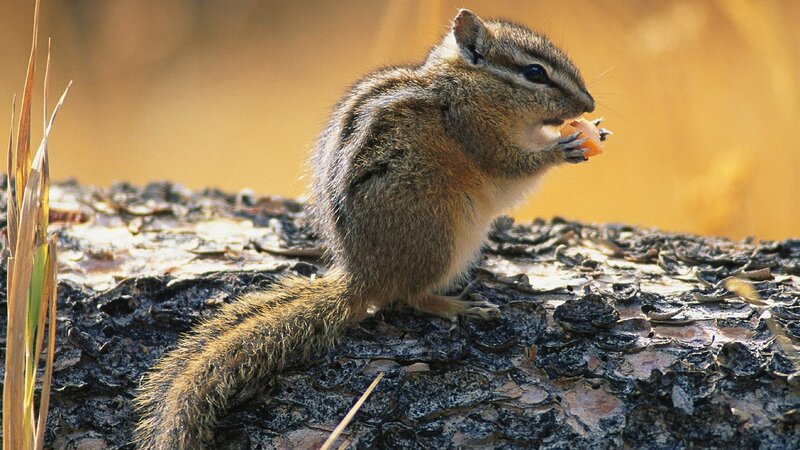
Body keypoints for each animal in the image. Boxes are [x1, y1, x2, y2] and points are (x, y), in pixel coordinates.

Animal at [134, 9, 603, 449]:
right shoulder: (476, 130)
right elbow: (512, 164)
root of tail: (363, 276)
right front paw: (565, 146)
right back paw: (458, 306)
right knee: (411, 296)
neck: (465, 85)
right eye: (535, 73)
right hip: (440, 234)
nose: (591, 105)